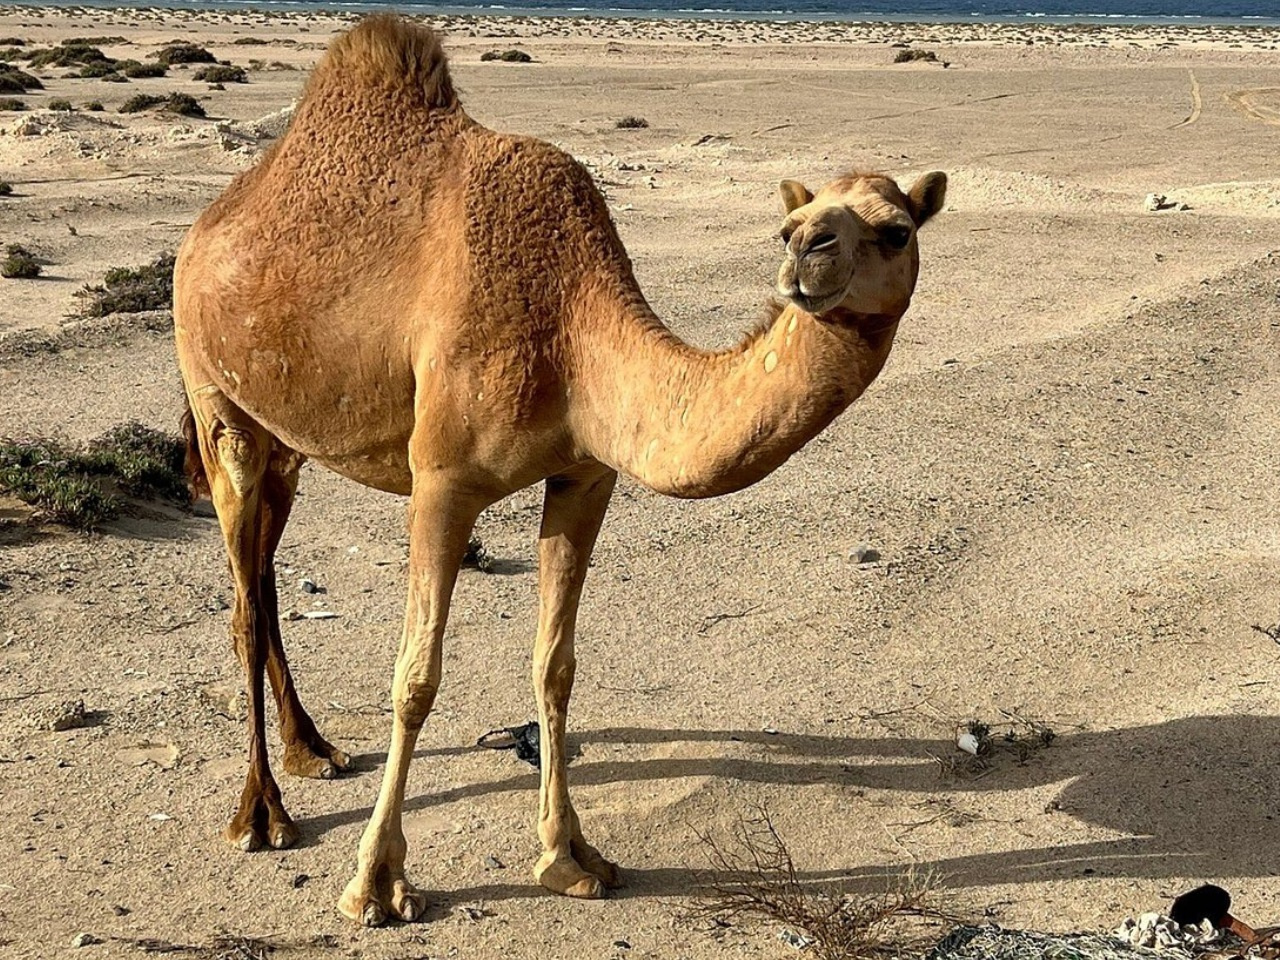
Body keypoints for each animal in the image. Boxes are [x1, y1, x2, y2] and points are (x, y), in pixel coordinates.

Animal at [174, 15, 947, 925]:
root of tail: (211, 220)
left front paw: (570, 856)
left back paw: (312, 749)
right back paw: (261, 812)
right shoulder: (441, 481)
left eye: (897, 229)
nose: (804, 251)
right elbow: (415, 679)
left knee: (262, 577)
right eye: (791, 225)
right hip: (216, 397)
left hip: (287, 436)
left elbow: (557, 667)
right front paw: (377, 882)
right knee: (243, 598)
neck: (571, 334)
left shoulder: (584, 476)